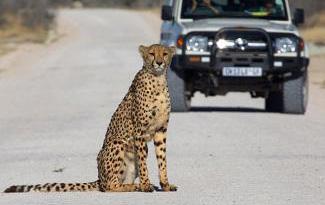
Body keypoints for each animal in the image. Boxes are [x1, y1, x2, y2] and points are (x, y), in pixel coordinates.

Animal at [3, 44, 177, 193]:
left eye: (165, 53)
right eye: (152, 53)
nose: (159, 62)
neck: (158, 80)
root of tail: (99, 178)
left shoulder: (161, 130)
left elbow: (162, 159)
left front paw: (166, 185)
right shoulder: (140, 132)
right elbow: (143, 163)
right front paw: (146, 185)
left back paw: (134, 185)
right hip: (117, 144)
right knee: (109, 186)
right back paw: (135, 186)